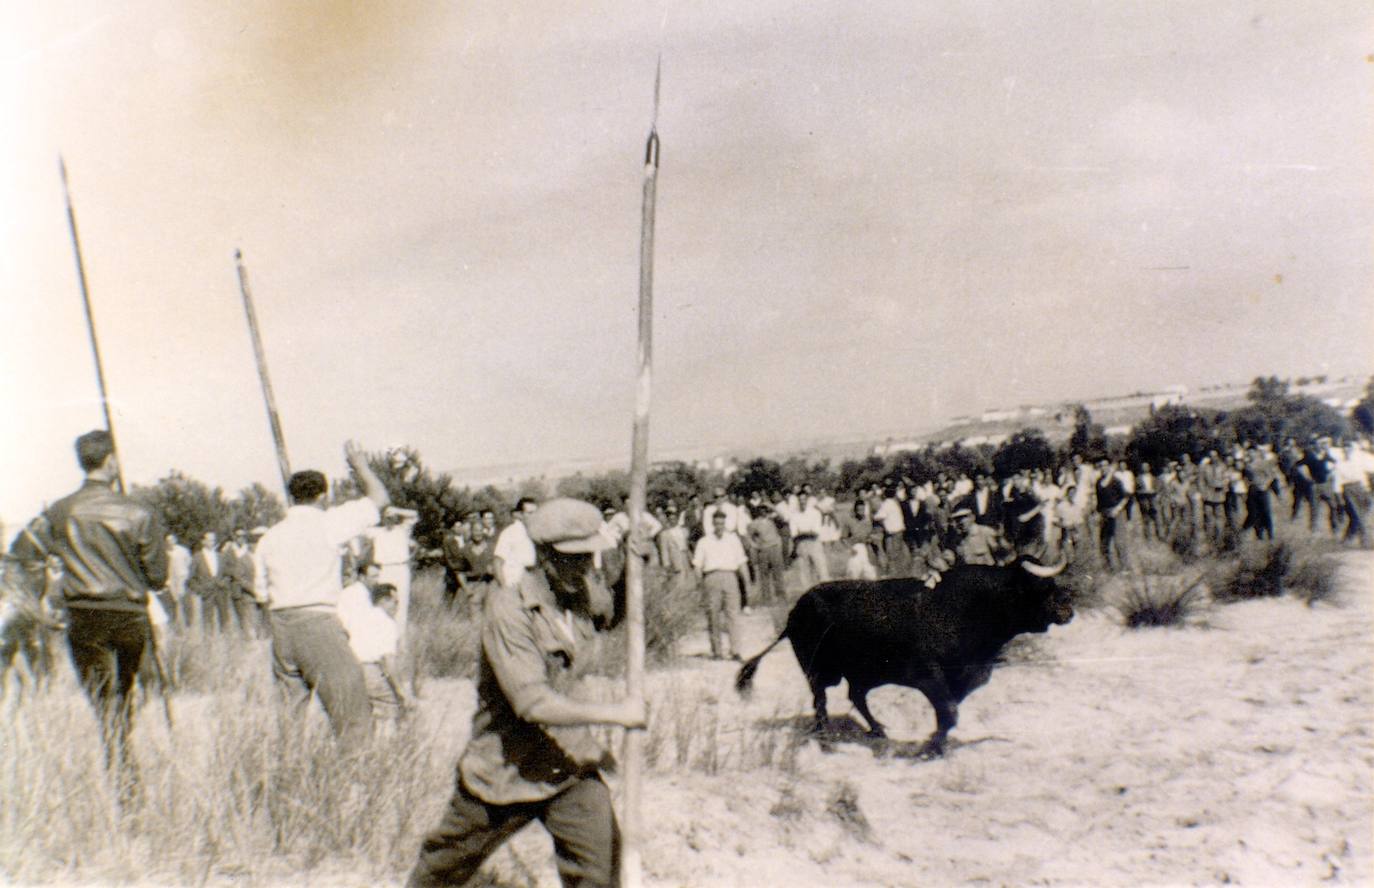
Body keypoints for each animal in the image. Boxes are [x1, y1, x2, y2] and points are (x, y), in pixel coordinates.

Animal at [736, 563, 1077, 758]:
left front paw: (934, 742)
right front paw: (930, 748)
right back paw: (827, 741)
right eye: (1038, 586)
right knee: (820, 701)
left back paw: (878, 730)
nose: (1068, 605)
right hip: (819, 670)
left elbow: (949, 711)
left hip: (862, 672)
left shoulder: (966, 676)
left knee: (855, 696)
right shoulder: (928, 676)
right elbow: (949, 710)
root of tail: (795, 611)